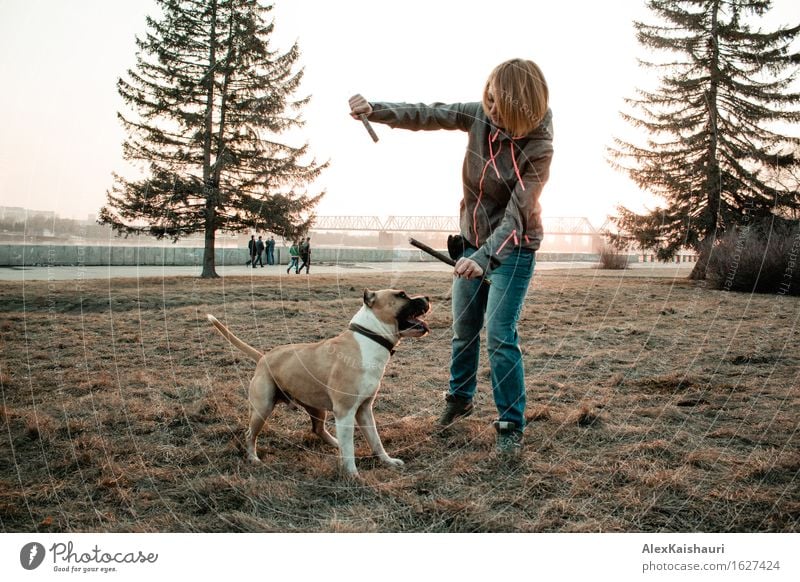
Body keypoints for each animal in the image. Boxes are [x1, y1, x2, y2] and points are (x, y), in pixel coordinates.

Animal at [206, 290, 432, 482]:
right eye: (401, 295)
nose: (427, 297)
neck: (368, 338)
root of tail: (263, 357)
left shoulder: (364, 409)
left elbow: (376, 440)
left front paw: (387, 461)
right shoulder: (345, 412)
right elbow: (350, 449)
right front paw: (352, 475)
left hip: (315, 408)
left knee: (317, 429)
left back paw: (335, 443)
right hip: (263, 408)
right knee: (250, 434)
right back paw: (253, 458)